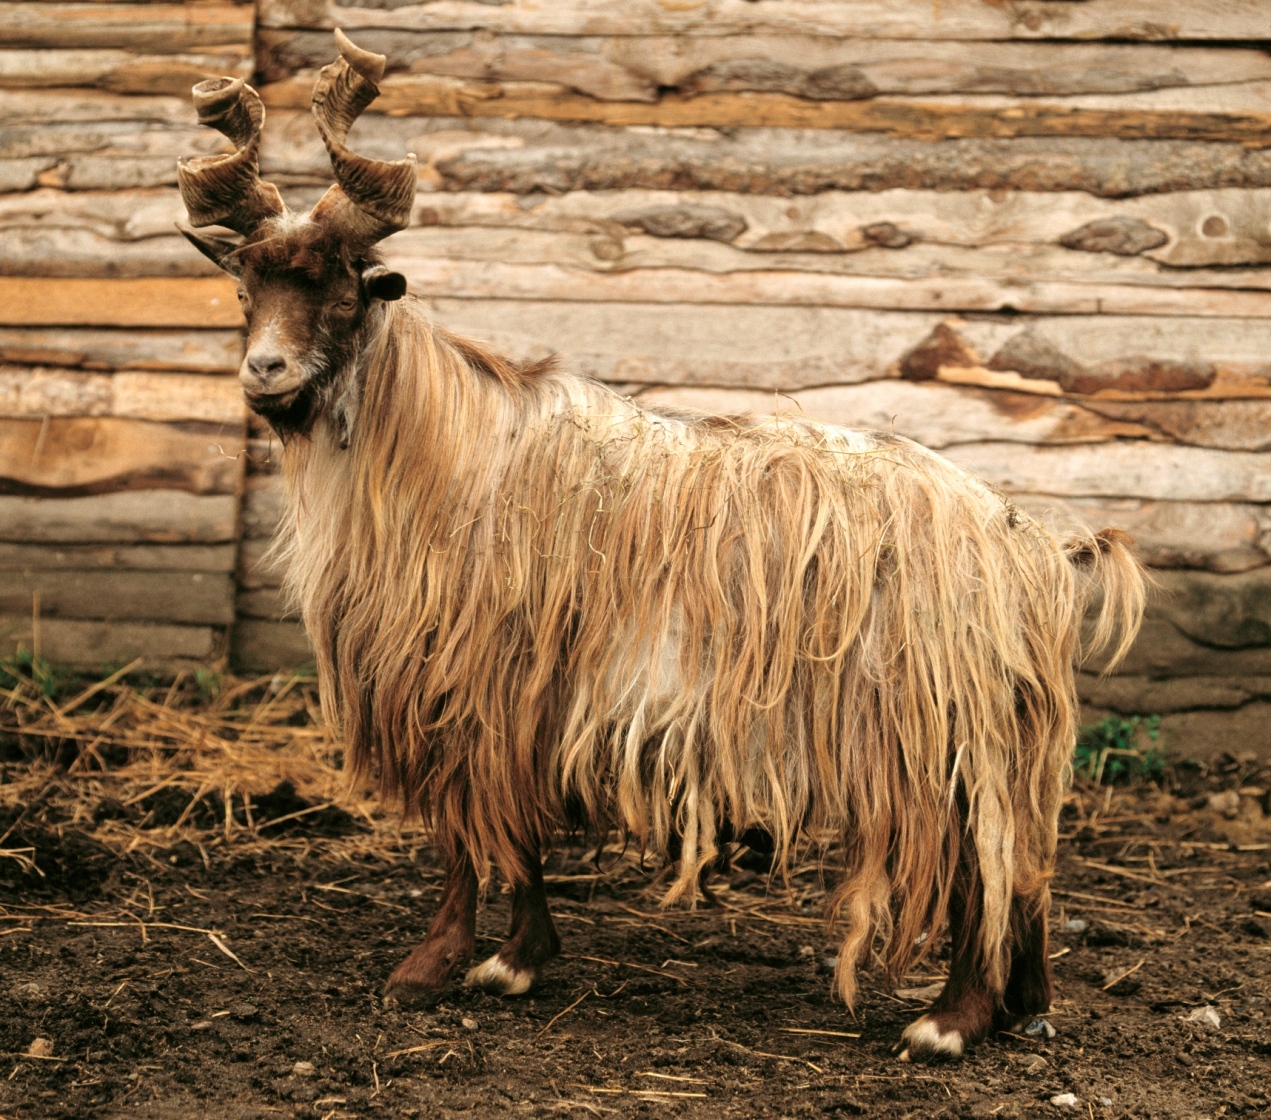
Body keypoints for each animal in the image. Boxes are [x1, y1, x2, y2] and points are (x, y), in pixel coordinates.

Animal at [177, 31, 1147, 1060]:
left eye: (338, 287)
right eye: (244, 287)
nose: (264, 372)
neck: (441, 449)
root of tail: (1032, 549)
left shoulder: (477, 688)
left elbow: (471, 834)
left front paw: (440, 966)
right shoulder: (524, 698)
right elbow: (511, 835)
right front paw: (516, 958)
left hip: (931, 729)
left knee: (978, 861)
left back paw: (948, 1021)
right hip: (997, 728)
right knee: (1024, 866)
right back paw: (1023, 1005)